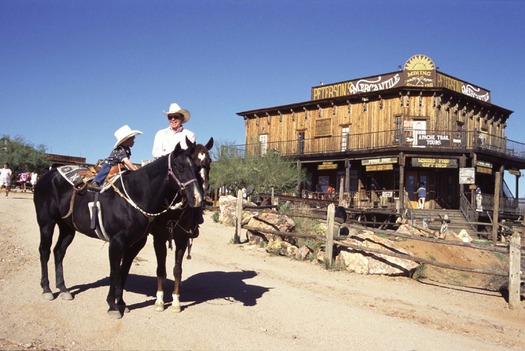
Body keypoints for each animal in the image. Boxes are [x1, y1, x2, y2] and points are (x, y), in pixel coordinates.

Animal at [34, 142, 203, 320]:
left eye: (196, 168)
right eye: (179, 167)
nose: (197, 198)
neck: (135, 196)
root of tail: (47, 176)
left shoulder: (134, 245)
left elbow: (124, 271)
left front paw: (121, 303)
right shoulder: (116, 242)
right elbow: (115, 272)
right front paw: (112, 306)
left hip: (67, 228)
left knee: (59, 252)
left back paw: (63, 289)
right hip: (46, 223)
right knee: (44, 251)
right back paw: (46, 289)